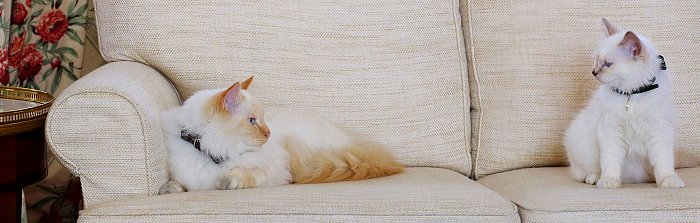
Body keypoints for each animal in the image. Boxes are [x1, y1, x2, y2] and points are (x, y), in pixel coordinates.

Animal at [157, 76, 402, 193]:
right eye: (252, 121)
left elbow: (245, 174)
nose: (269, 133)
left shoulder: (277, 171)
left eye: (263, 119)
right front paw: (169, 189)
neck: (212, 154)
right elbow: (174, 184)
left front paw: (227, 181)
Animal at [568, 18, 696, 188]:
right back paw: (595, 178)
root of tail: (634, 179)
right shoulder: (611, 131)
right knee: (583, 172)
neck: (632, 94)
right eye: (596, 61)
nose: (593, 72)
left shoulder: (659, 130)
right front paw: (609, 181)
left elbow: (664, 163)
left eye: (607, 64)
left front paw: (668, 180)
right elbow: (610, 162)